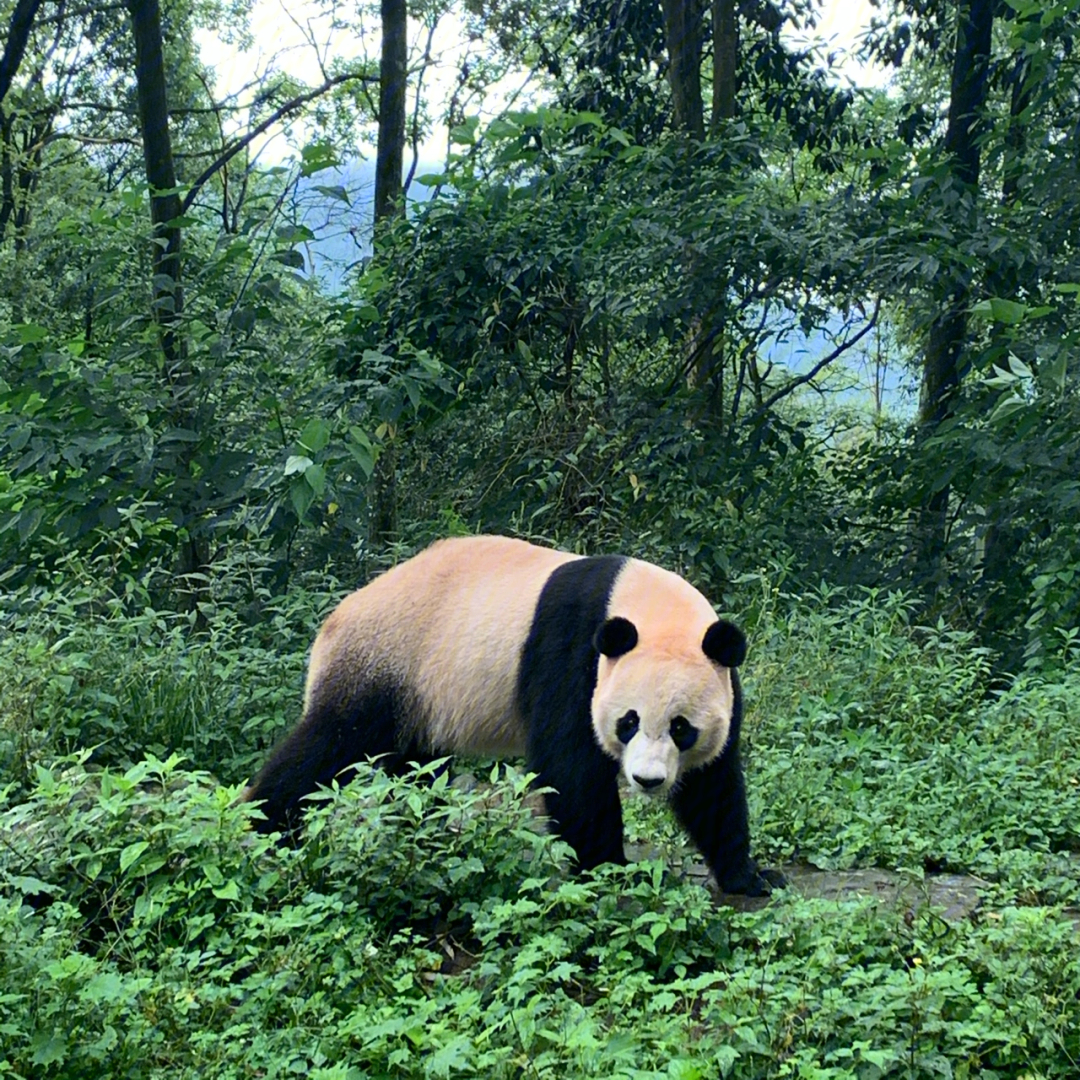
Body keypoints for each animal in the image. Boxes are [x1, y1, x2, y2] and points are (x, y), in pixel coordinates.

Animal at [245, 533, 781, 894]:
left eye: (681, 728)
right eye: (628, 721)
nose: (647, 780)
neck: (649, 607)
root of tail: (332, 622)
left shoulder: (720, 676)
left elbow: (712, 786)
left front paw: (750, 875)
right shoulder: (572, 652)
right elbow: (570, 766)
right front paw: (611, 868)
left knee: (414, 769)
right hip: (387, 662)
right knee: (330, 744)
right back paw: (265, 827)